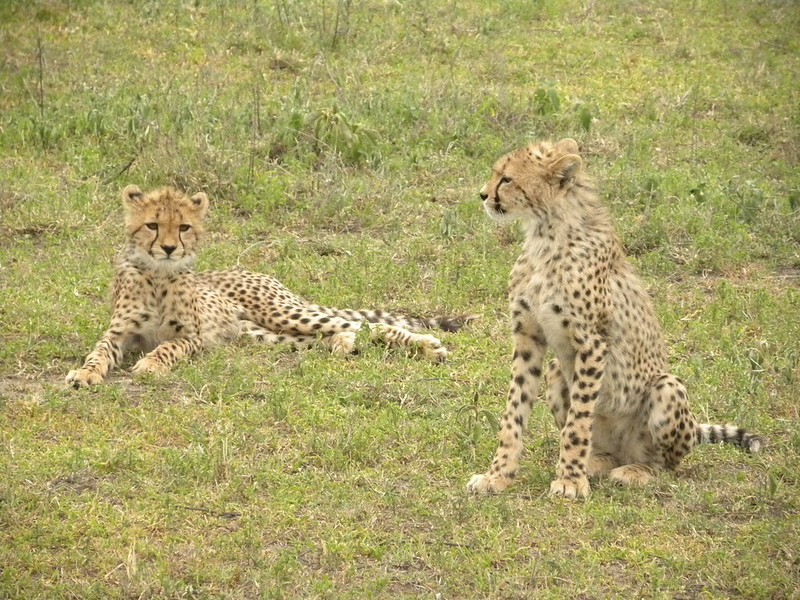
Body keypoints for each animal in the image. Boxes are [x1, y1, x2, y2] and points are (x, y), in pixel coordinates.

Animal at [69, 184, 468, 390]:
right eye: (152, 225)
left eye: (183, 227)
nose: (169, 248)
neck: (158, 274)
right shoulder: (120, 333)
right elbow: (99, 352)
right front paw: (85, 373)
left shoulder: (193, 337)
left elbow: (169, 347)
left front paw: (152, 364)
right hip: (261, 334)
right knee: (340, 334)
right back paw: (344, 345)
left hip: (285, 314)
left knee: (370, 324)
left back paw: (428, 346)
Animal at [468, 139, 764, 496]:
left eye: (507, 178)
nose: (483, 195)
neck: (546, 232)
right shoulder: (528, 337)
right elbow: (515, 411)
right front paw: (498, 475)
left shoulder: (592, 342)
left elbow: (578, 420)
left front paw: (569, 481)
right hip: (556, 373)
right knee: (603, 445)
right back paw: (597, 461)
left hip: (666, 387)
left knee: (667, 464)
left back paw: (637, 470)